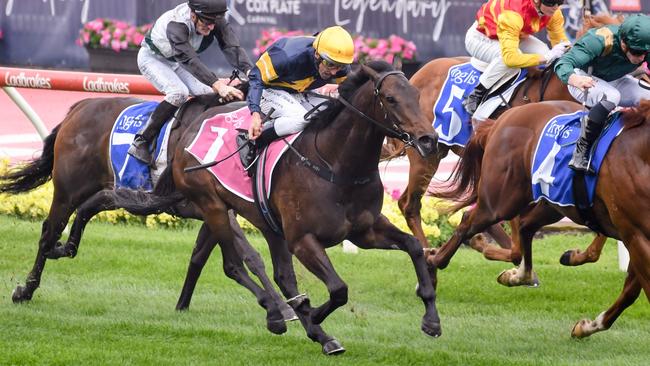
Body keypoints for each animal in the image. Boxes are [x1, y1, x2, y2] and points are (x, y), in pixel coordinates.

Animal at [153, 63, 440, 354]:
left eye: (417, 95)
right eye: (391, 99)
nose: (428, 139)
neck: (337, 165)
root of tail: (188, 130)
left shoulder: (364, 231)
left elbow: (414, 246)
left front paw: (431, 320)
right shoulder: (302, 239)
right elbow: (339, 289)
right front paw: (312, 313)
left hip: (259, 220)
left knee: (281, 276)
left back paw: (319, 334)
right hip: (213, 206)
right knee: (233, 265)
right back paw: (275, 315)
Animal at [430, 101, 648, 338]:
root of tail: (502, 118)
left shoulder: (635, 238)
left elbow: (630, 291)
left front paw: (586, 327)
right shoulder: (634, 234)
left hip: (555, 202)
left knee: (525, 226)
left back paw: (519, 275)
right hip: (501, 201)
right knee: (469, 220)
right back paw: (434, 260)